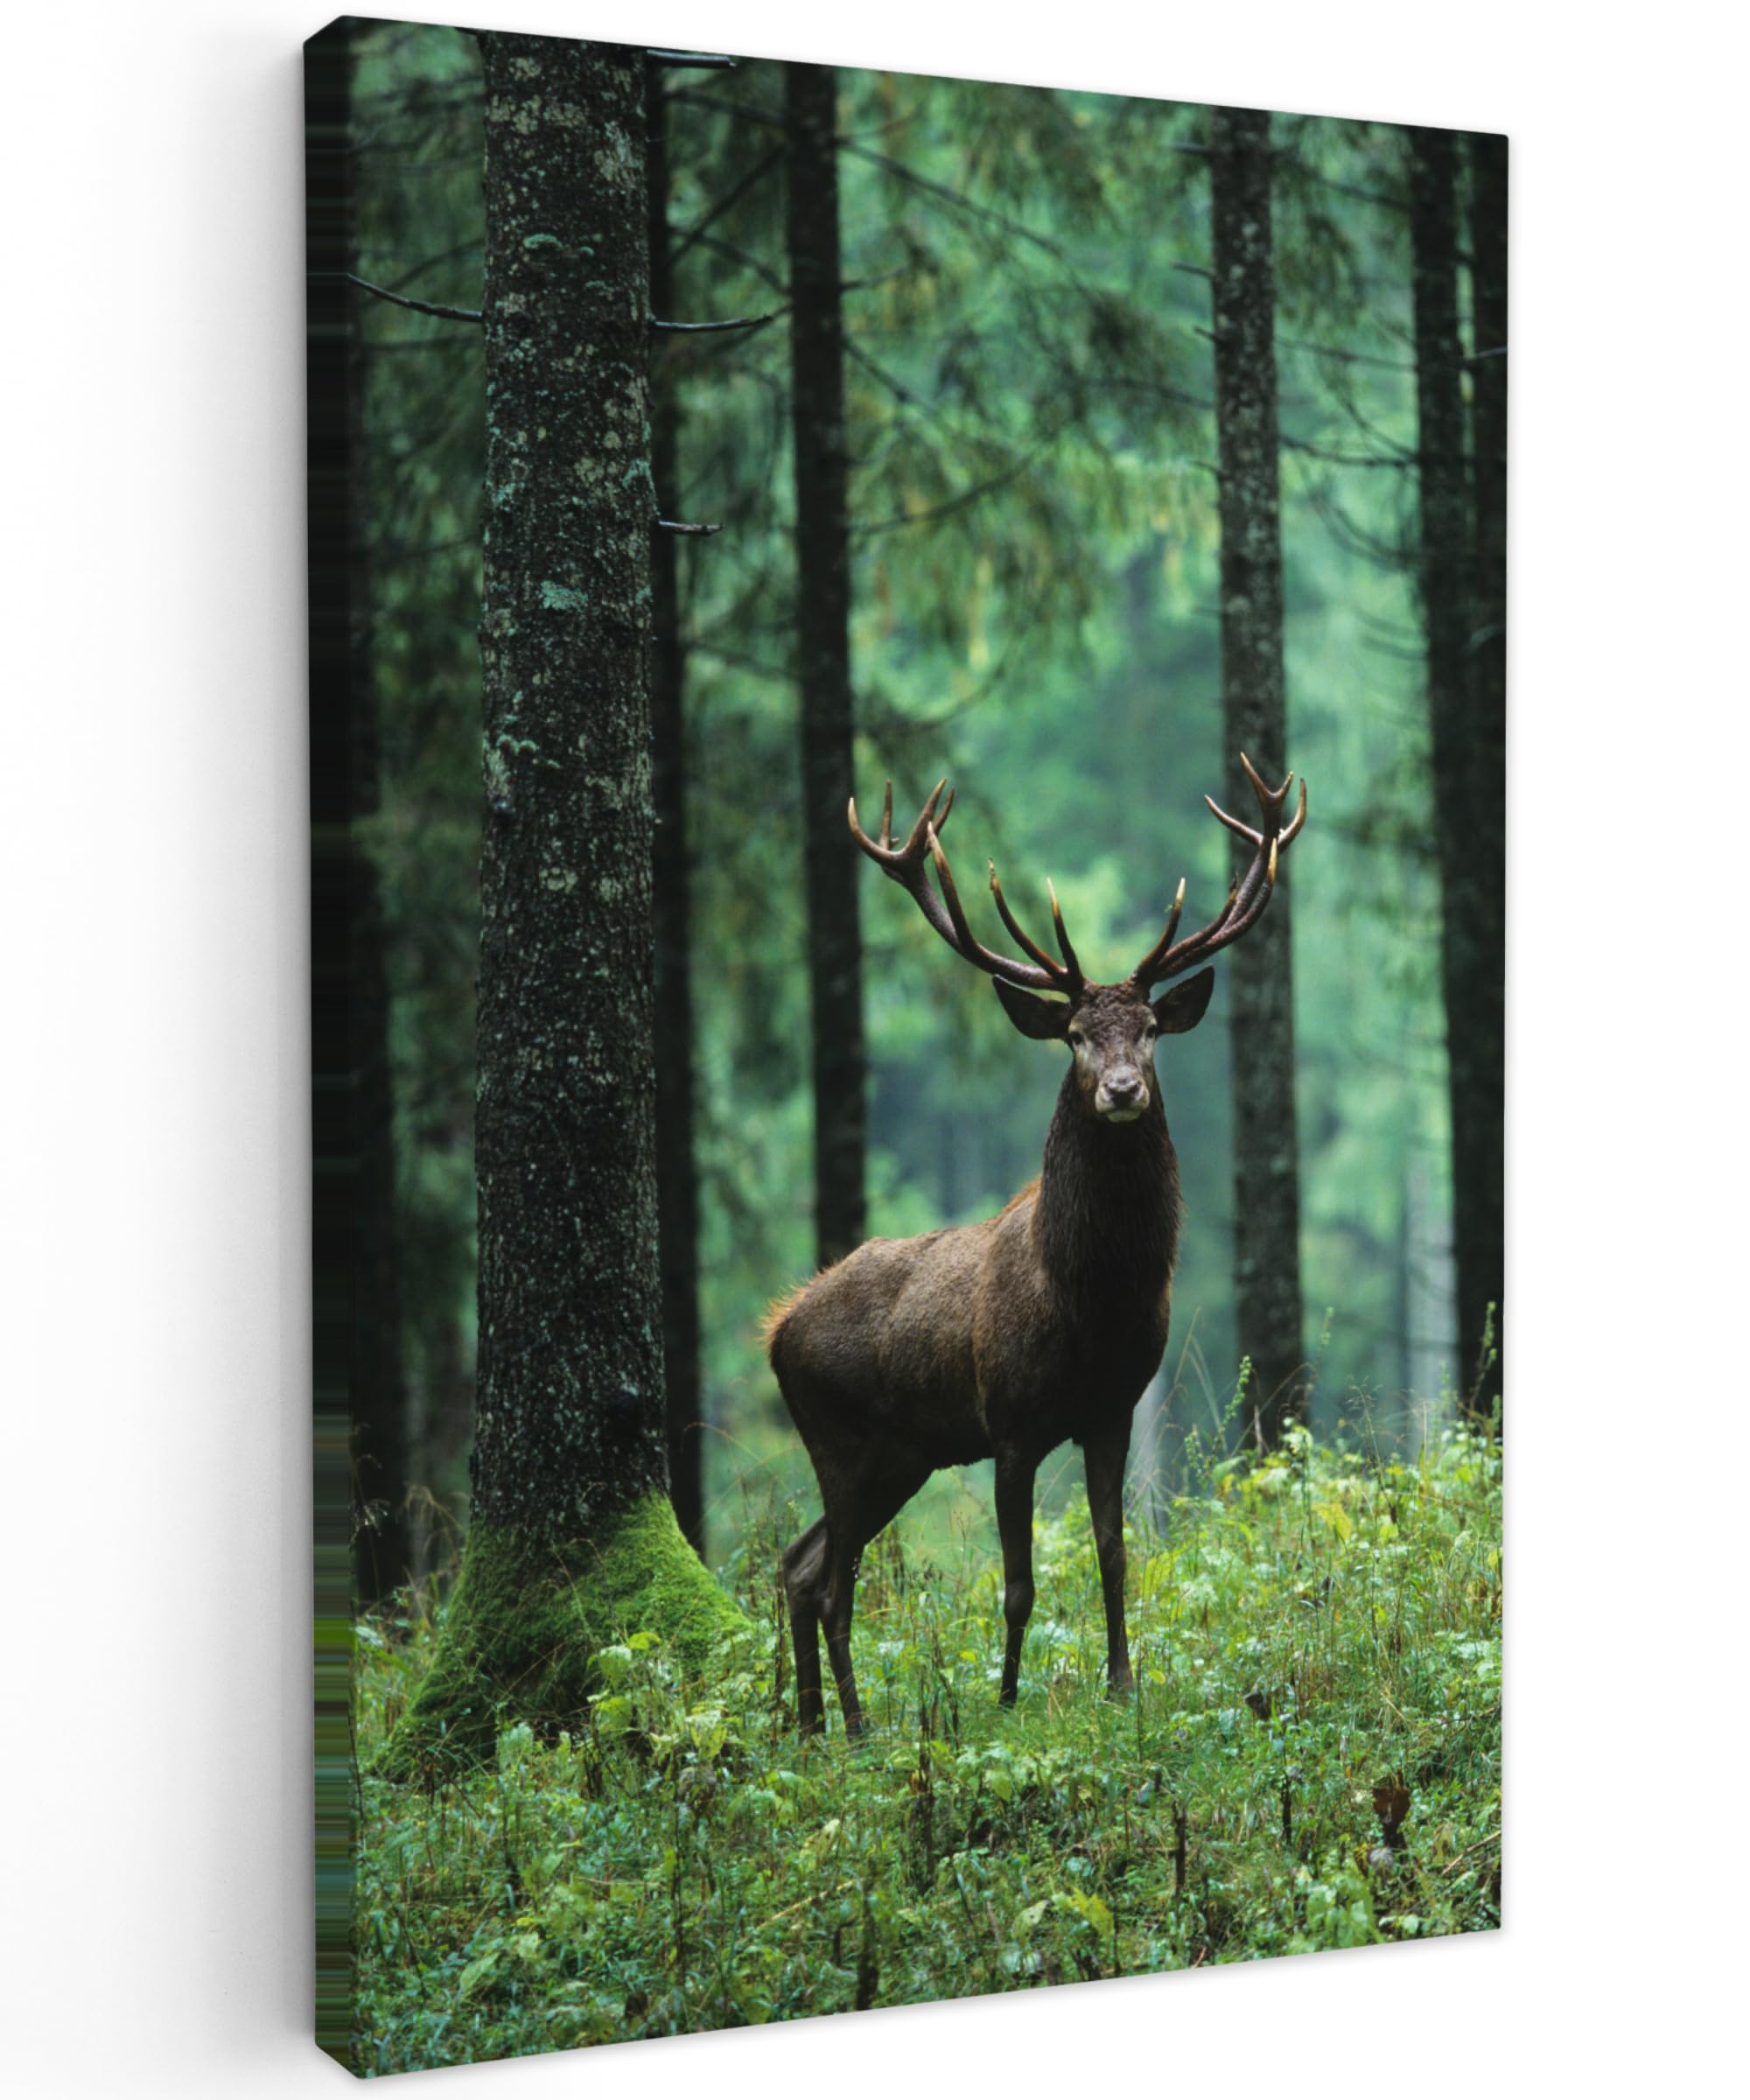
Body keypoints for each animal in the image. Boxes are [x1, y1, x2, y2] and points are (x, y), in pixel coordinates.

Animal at [767, 755, 1307, 1737]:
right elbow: (1016, 1584)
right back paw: (855, 1728)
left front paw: (1122, 1684)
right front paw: (1008, 1697)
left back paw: (816, 1725)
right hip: (840, 1438)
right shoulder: (1009, 1421)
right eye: (1075, 1036)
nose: (1123, 1090)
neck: (1091, 1302)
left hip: (901, 1453)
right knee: (827, 1581)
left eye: (1150, 1030)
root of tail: (776, 1330)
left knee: (800, 1563)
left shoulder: (1112, 1410)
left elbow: (1113, 1553)